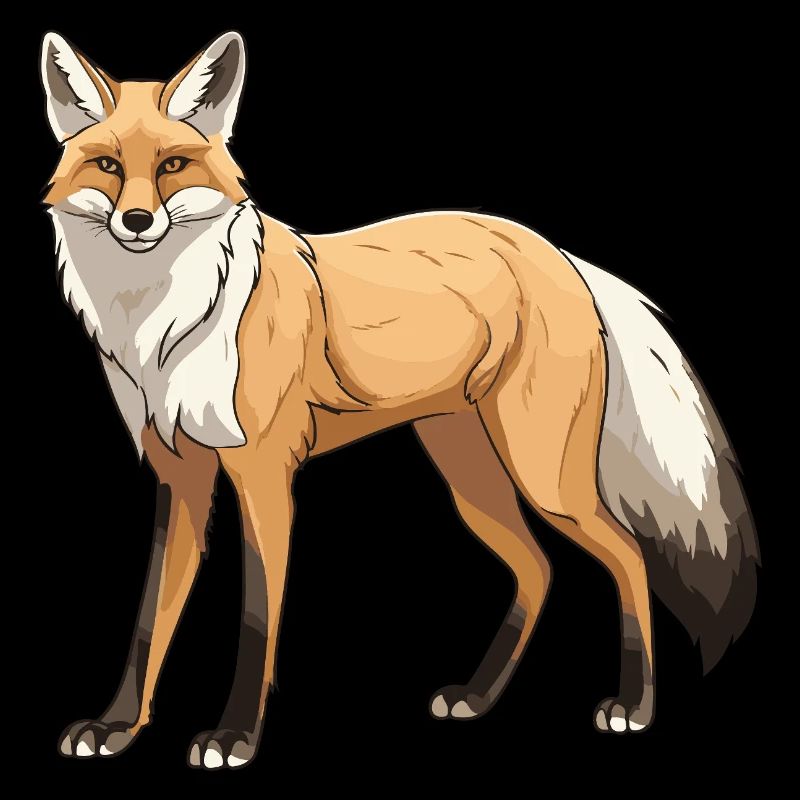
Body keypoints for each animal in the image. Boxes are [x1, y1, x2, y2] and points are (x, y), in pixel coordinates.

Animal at [43, 30, 759, 769]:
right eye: (106, 165)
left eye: (174, 165)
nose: (136, 220)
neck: (168, 328)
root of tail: (556, 250)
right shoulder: (177, 474)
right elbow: (148, 620)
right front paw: (117, 727)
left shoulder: (263, 475)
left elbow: (256, 616)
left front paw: (235, 737)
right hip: (470, 477)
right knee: (538, 569)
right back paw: (477, 698)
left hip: (545, 479)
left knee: (628, 556)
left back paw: (635, 708)